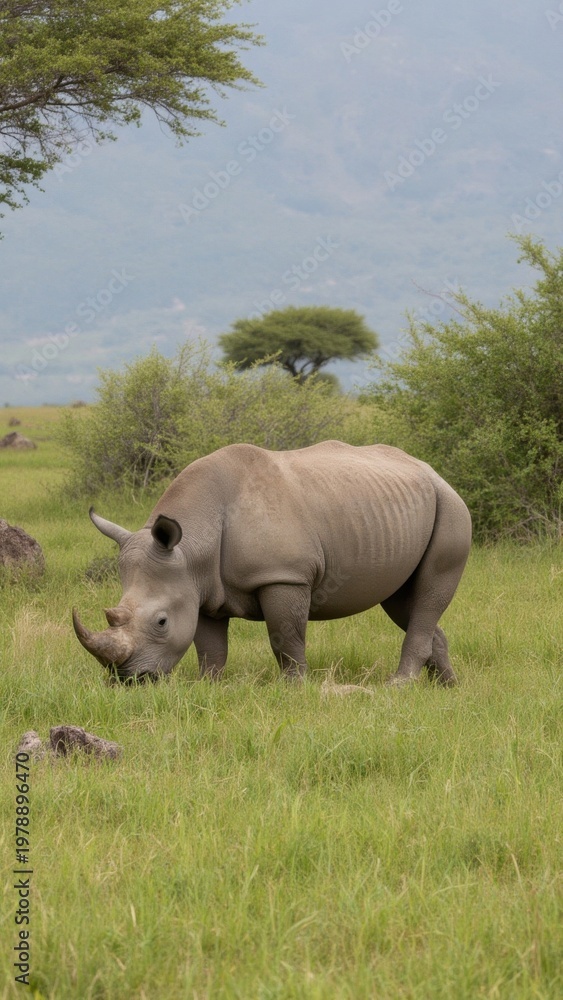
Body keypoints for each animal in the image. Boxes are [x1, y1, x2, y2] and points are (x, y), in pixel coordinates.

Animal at [73, 441, 471, 686]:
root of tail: (433, 472)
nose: (129, 680)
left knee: (429, 594)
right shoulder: (201, 589)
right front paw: (208, 686)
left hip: (451, 508)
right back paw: (447, 687)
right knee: (405, 601)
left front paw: (295, 687)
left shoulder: (284, 576)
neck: (192, 545)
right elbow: (210, 647)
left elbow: (286, 637)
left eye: (161, 622)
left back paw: (399, 686)